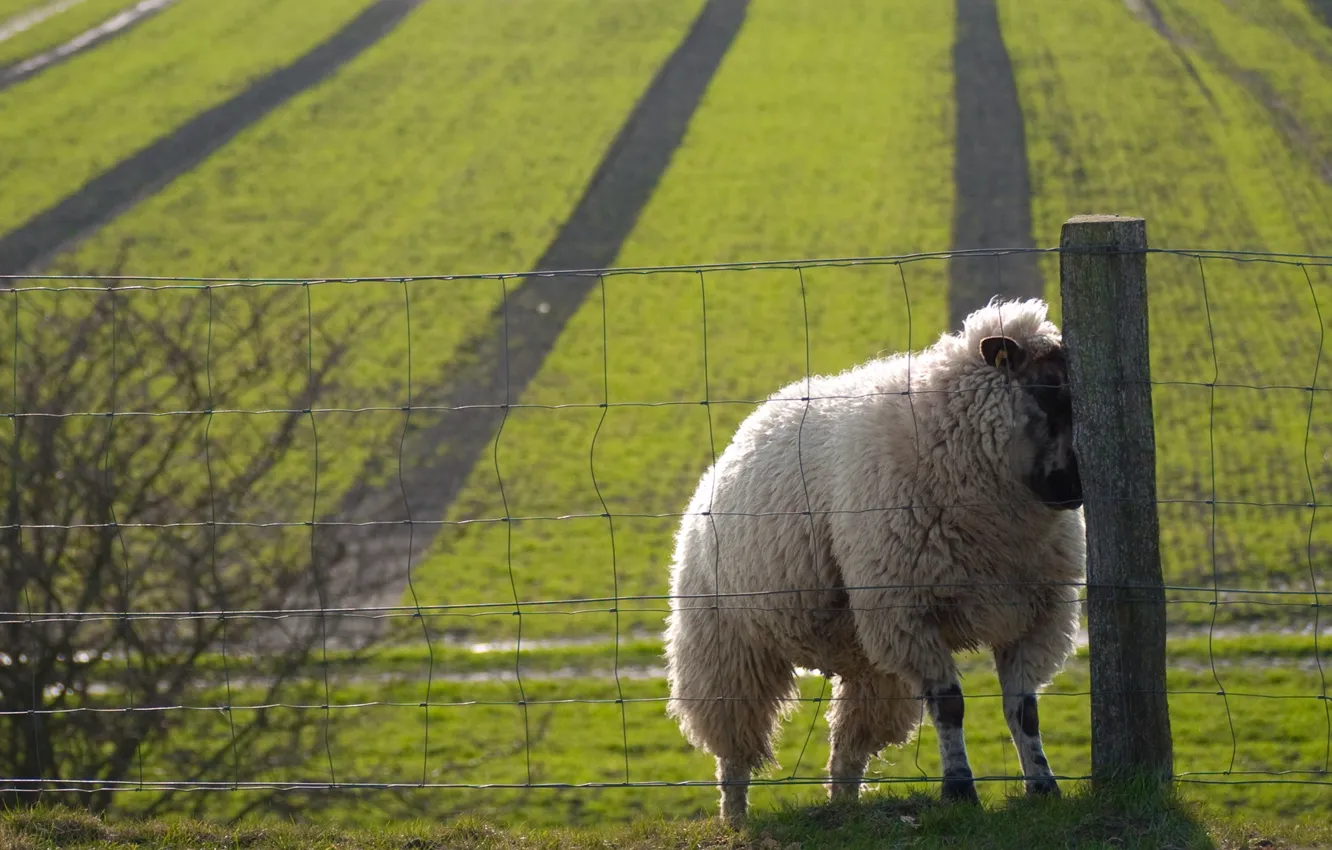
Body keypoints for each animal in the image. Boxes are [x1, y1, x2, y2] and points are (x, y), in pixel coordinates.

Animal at [662, 297, 1086, 826]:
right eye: (1046, 391)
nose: (1076, 489)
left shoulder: (1037, 615)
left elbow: (1023, 710)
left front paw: (1044, 786)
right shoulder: (909, 612)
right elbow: (950, 706)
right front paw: (959, 791)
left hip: (867, 659)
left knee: (848, 748)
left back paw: (844, 805)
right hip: (725, 649)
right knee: (734, 749)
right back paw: (736, 819)